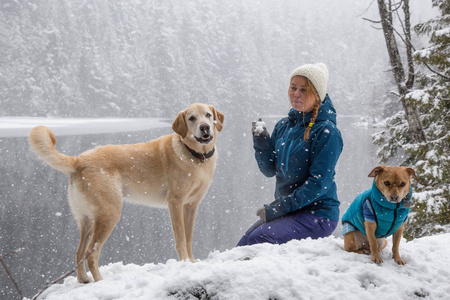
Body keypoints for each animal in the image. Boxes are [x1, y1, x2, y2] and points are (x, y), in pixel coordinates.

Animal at [29, 102, 224, 282]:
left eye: (208, 115)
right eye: (191, 118)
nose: (205, 127)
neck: (195, 156)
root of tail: (78, 160)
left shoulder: (191, 205)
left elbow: (189, 237)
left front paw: (191, 262)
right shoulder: (175, 203)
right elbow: (181, 238)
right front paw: (184, 262)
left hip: (87, 219)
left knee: (79, 252)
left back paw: (84, 279)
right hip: (110, 213)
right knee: (91, 253)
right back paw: (100, 281)